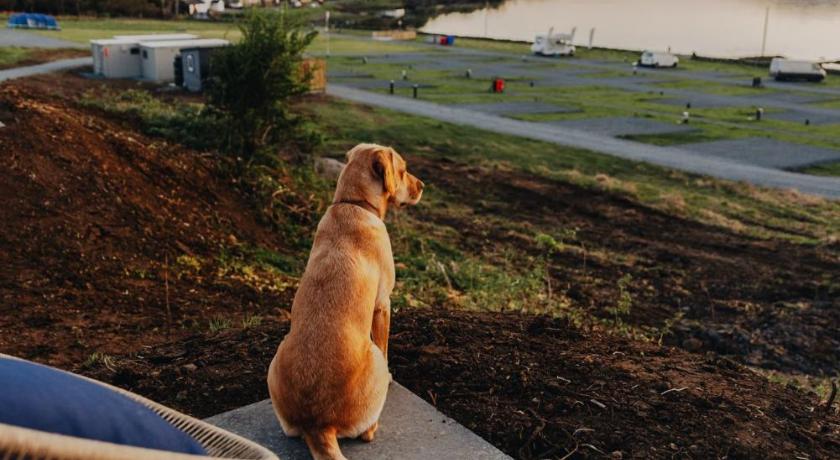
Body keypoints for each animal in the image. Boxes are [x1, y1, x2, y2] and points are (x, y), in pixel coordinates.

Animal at [267, 143, 424, 460]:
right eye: (403, 170)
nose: (423, 186)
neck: (353, 203)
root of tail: (317, 426)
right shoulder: (383, 304)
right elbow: (386, 345)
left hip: (274, 364)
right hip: (372, 357)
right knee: (367, 431)